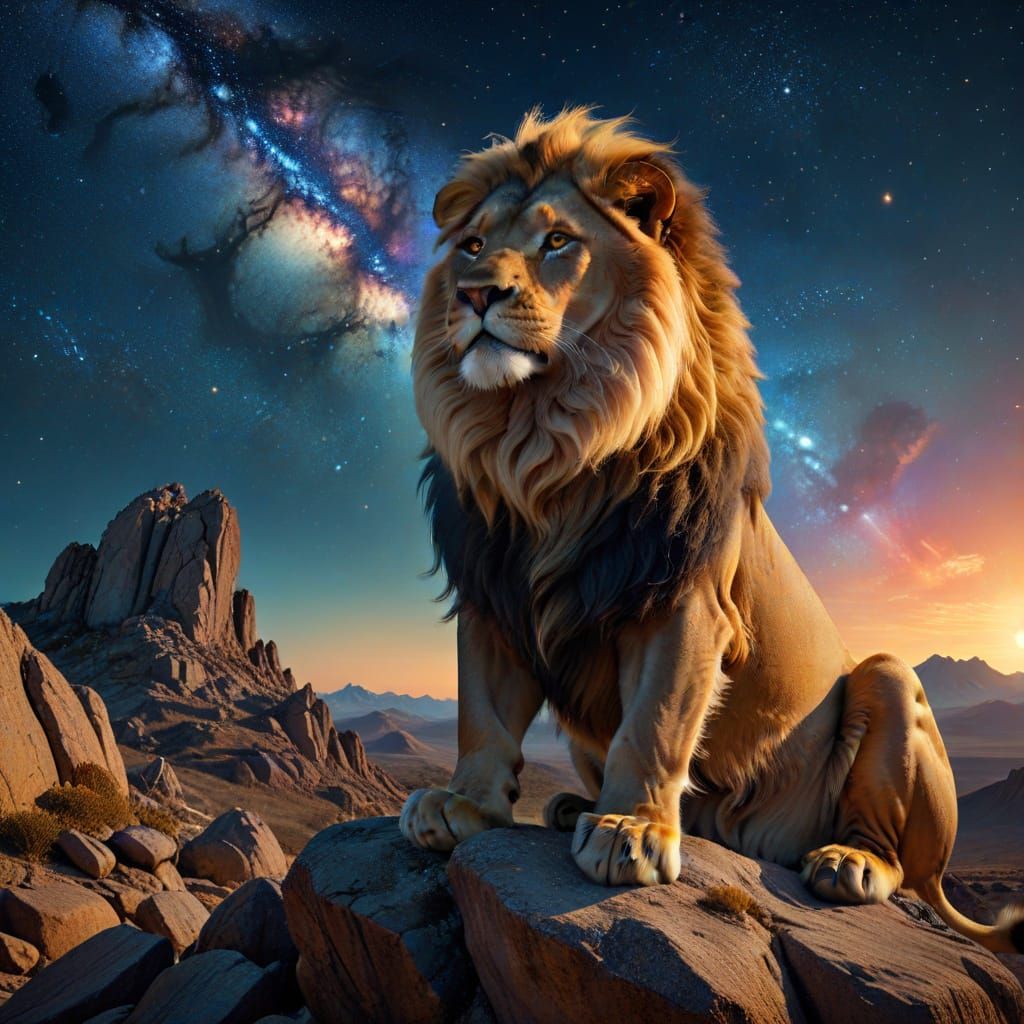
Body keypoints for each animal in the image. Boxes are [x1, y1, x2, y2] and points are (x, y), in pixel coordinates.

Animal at [400, 107, 1024, 955]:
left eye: (557, 241)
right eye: (470, 244)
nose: (472, 294)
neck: (544, 446)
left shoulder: (683, 598)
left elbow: (655, 721)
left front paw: (630, 830)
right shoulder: (493, 595)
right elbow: (482, 716)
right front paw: (463, 804)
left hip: (890, 681)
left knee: (901, 863)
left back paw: (846, 863)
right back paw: (573, 806)